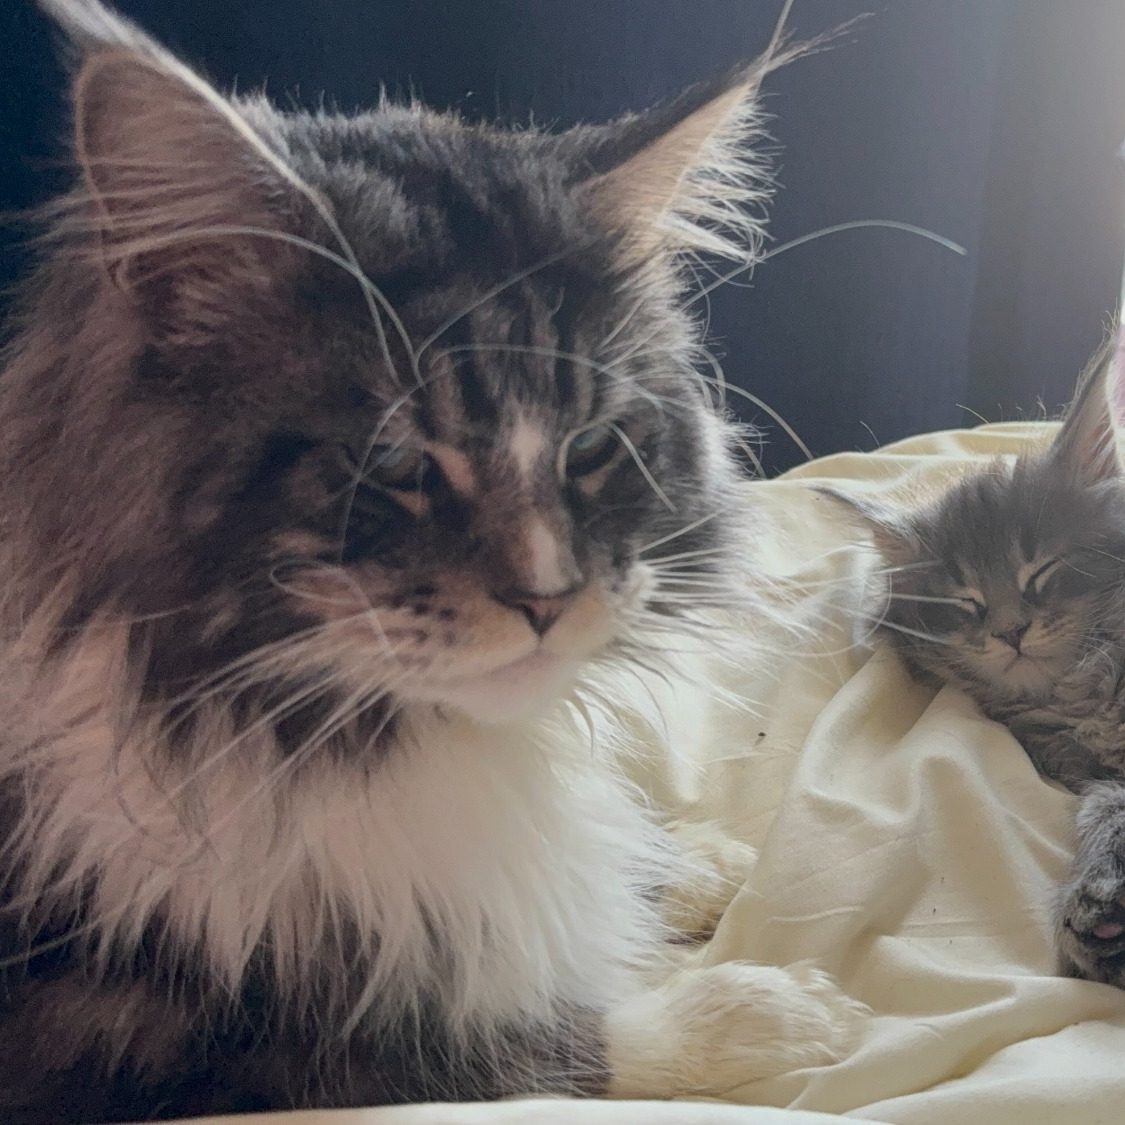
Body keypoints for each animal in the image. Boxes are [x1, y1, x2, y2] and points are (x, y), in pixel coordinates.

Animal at [0, 0, 864, 1120]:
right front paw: (765, 1016)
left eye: (592, 447)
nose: (548, 598)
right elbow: (524, 1041)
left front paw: (686, 863)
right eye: (398, 464)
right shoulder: (161, 1043)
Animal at [819, 337, 1125, 990]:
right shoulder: (1081, 766)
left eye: (1041, 571)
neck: (1086, 689)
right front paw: (1097, 915)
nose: (1010, 632)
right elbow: (1105, 807)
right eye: (966, 602)